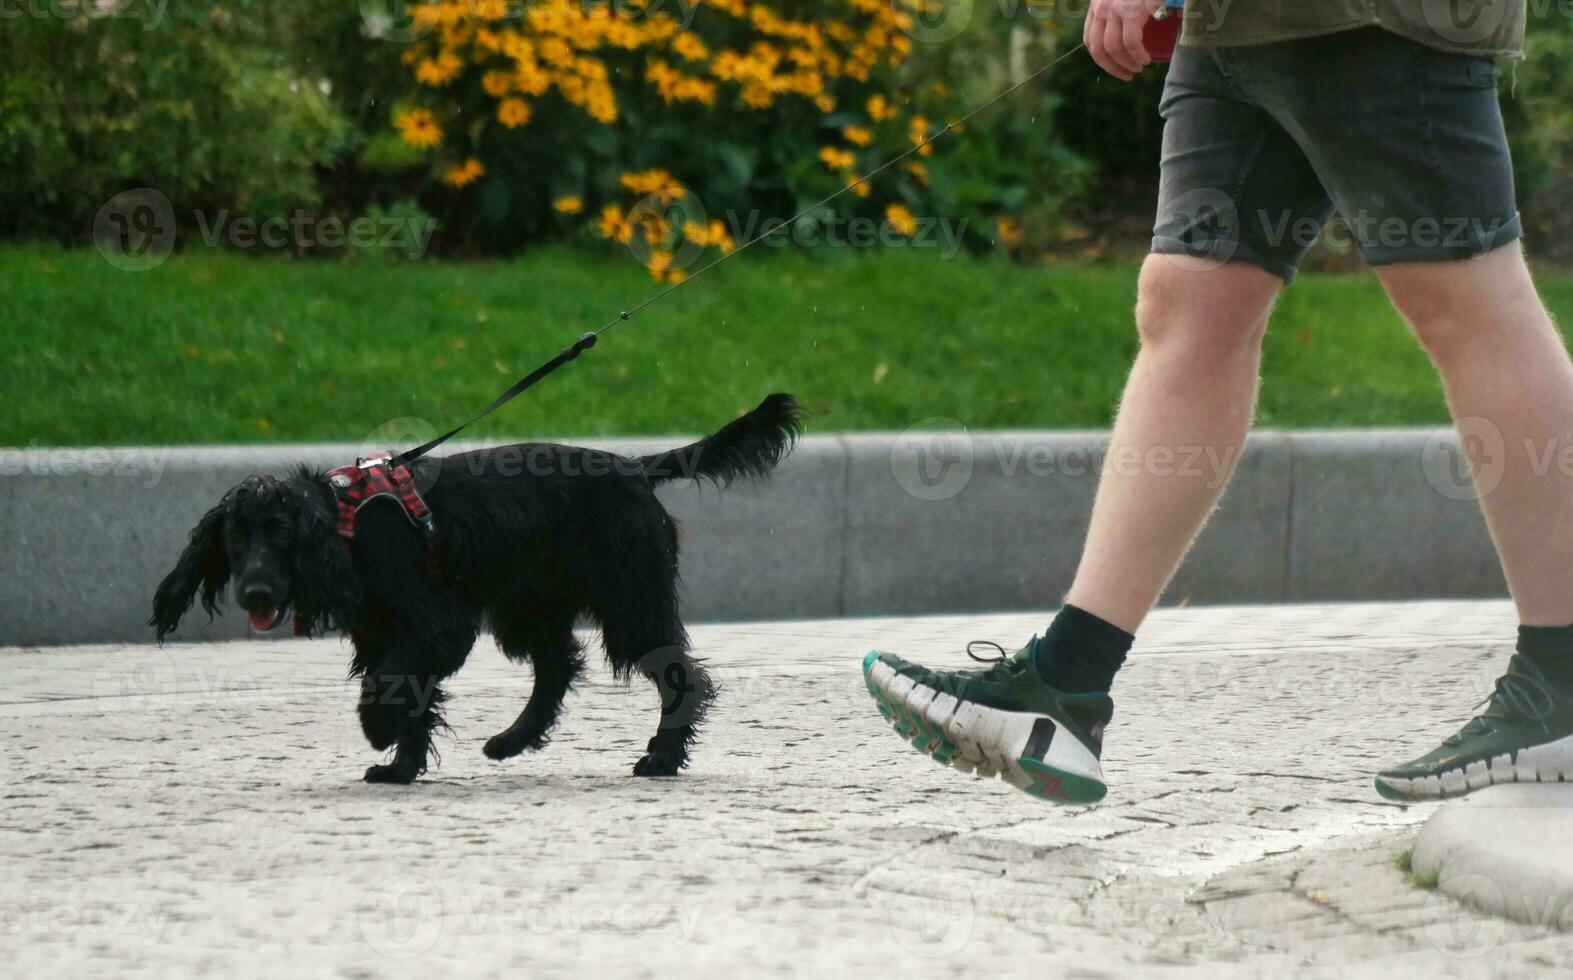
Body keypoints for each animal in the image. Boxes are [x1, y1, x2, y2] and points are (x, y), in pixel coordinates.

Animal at [150, 394, 799, 786]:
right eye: (236, 537)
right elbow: (407, 689)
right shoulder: (385, 629)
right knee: (557, 667)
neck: (346, 526)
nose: (256, 594)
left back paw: (662, 756)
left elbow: (391, 684)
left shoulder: (436, 622)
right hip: (531, 602)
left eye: (282, 535)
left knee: (679, 675)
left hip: (629, 599)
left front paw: (380, 734)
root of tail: (636, 467)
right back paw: (513, 741)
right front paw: (402, 767)